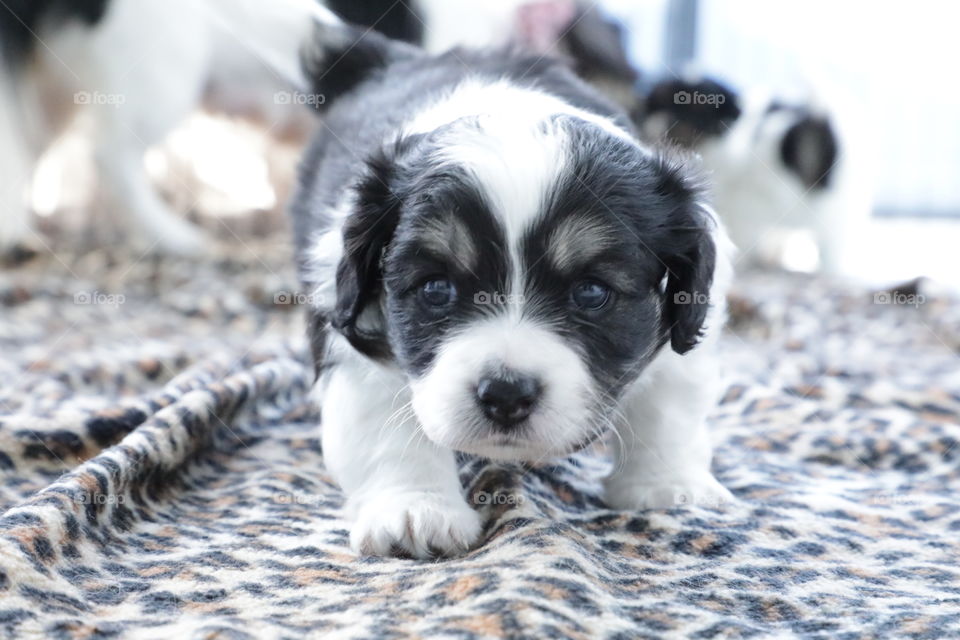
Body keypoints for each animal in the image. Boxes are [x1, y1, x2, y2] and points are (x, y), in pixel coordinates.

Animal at [244, 3, 732, 556]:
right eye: (436, 289)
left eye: (591, 292)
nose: (505, 395)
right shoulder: (350, 320)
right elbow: (384, 424)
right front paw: (415, 512)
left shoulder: (687, 316)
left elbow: (670, 404)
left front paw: (666, 488)